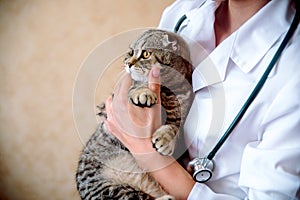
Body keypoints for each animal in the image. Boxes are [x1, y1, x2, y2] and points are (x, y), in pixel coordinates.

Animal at [76, 29, 193, 200]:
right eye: (130, 52)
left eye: (145, 54)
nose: (128, 64)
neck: (168, 89)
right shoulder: (113, 101)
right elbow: (134, 88)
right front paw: (143, 92)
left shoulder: (180, 114)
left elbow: (173, 128)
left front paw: (165, 139)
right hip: (109, 188)